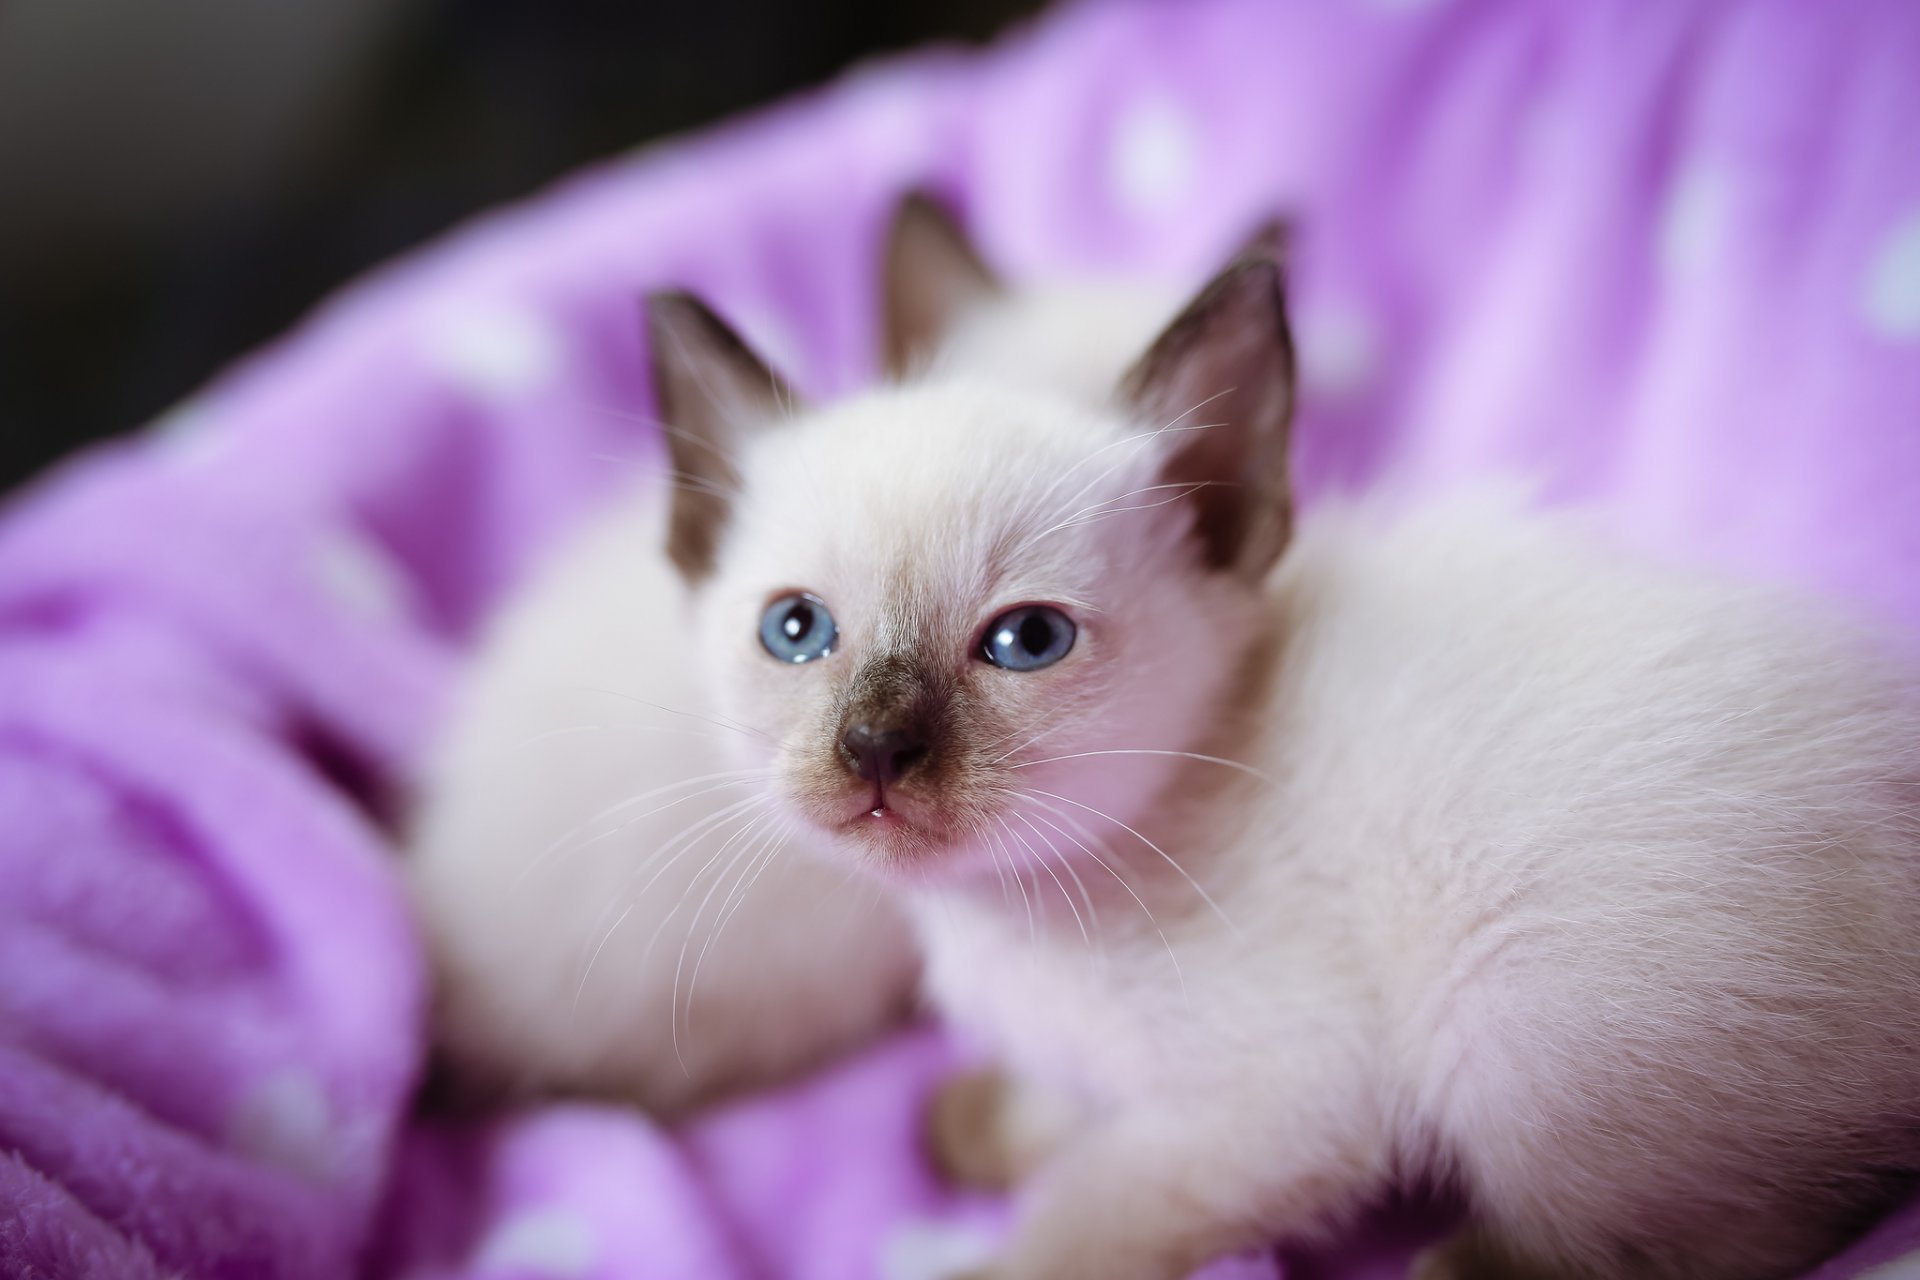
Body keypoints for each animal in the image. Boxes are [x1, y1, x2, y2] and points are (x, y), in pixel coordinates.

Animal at [629, 225, 1920, 1274]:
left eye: (1026, 640)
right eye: (797, 630)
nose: (875, 749)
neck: (1015, 914)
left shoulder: (1276, 1106)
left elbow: (1083, 1222)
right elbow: (1070, 1116)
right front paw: (985, 1123)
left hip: (1508, 1026)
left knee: (1752, 1229)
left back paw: (1461, 1263)